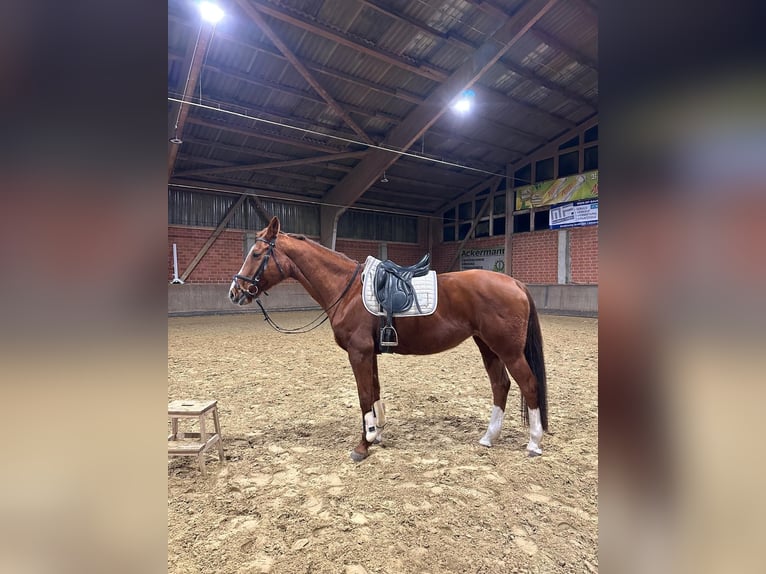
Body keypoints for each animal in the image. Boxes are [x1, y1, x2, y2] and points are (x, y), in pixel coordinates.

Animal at [226, 217, 544, 464]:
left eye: (256, 254)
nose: (235, 291)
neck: (348, 290)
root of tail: (515, 282)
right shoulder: (370, 354)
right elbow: (375, 392)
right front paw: (376, 434)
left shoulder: (359, 353)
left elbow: (364, 396)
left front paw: (362, 445)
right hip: (487, 346)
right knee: (500, 385)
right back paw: (489, 437)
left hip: (508, 350)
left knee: (528, 385)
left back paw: (534, 443)